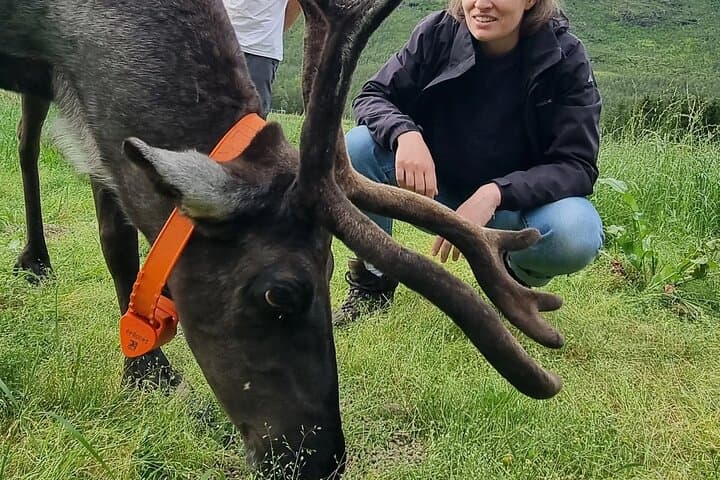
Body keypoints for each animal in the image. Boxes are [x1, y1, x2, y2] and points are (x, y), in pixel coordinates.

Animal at [1, 0, 567, 478]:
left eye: (334, 268)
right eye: (280, 294)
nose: (320, 462)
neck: (56, 25)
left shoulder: (90, 112)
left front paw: (145, 370)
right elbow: (116, 244)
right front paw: (147, 374)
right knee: (27, 145)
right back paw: (35, 258)